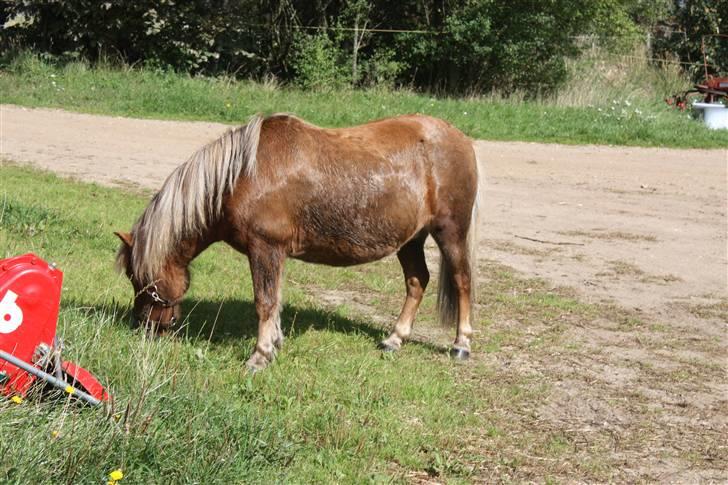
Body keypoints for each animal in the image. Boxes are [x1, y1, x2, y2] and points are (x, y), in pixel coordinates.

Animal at [115, 113, 484, 370]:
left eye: (141, 280)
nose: (144, 327)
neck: (243, 176)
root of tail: (460, 138)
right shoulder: (273, 254)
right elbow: (274, 300)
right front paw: (274, 343)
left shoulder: (265, 249)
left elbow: (265, 301)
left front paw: (260, 356)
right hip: (411, 240)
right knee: (417, 281)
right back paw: (394, 339)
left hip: (450, 231)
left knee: (462, 281)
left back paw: (461, 344)